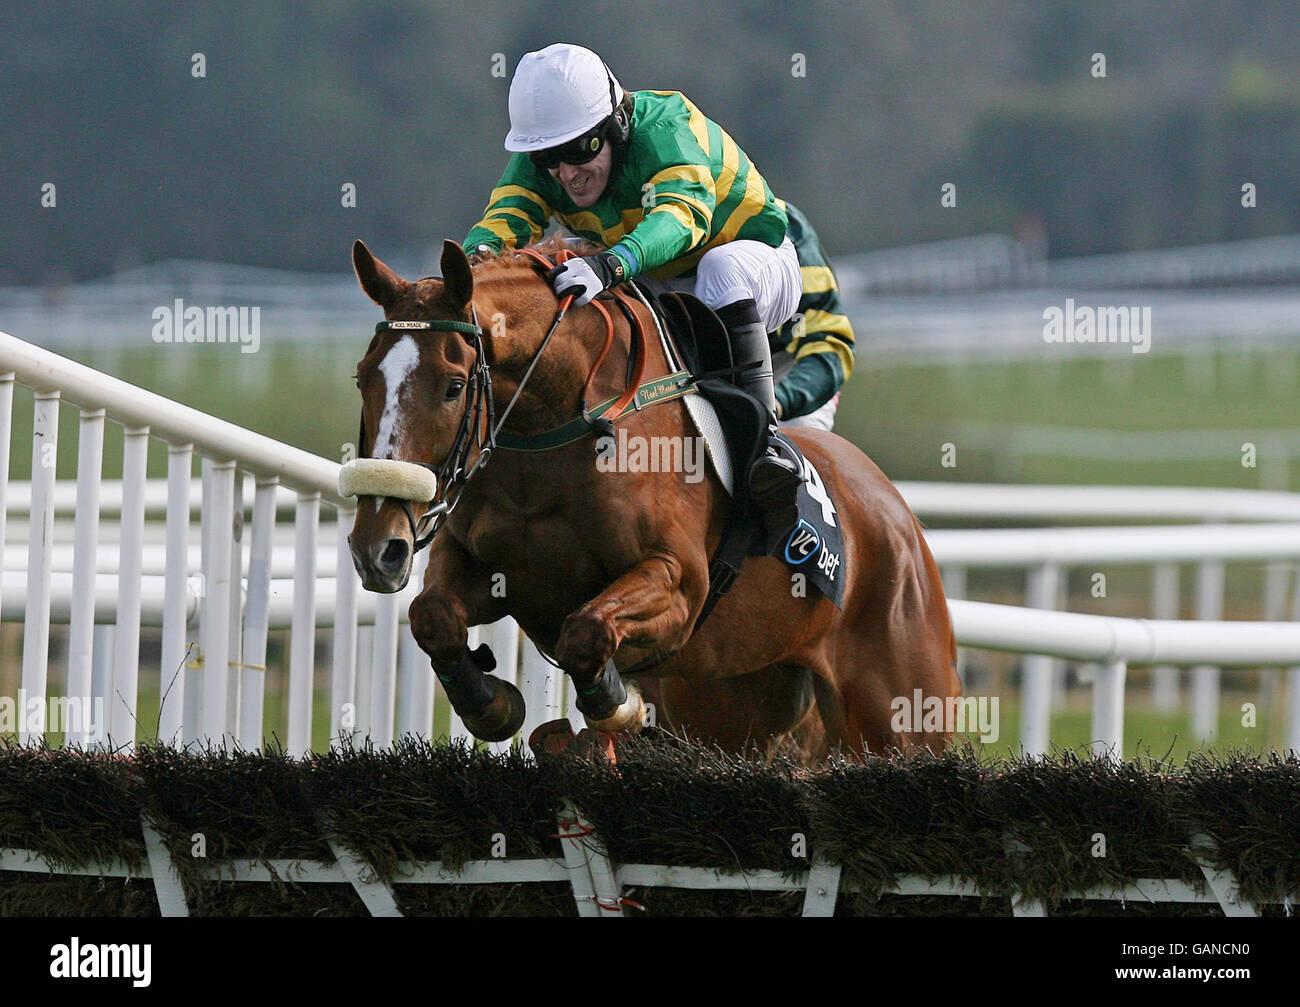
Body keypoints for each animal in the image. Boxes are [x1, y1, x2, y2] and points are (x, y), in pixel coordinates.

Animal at [343, 236, 956, 758]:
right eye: (361, 378)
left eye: (453, 386)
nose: (378, 548)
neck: (557, 428)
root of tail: (900, 519)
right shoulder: (489, 570)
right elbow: (432, 615)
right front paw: (491, 703)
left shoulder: (679, 582)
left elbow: (588, 630)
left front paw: (618, 704)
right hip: (733, 705)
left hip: (902, 715)